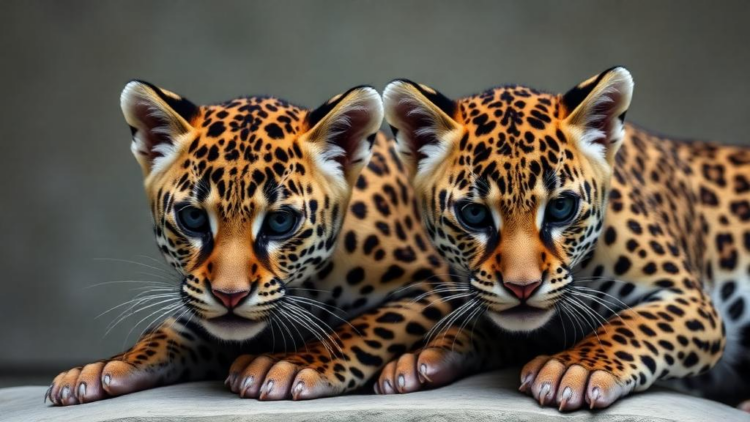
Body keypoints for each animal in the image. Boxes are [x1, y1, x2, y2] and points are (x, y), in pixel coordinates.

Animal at [46, 81, 496, 405]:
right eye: (193, 218)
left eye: (280, 223)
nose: (229, 295)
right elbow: (167, 333)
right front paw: (100, 369)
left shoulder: (434, 284)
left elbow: (367, 326)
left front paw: (293, 365)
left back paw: (423, 362)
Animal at [375, 67, 750, 412]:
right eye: (474, 214)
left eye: (560, 208)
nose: (522, 288)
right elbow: (487, 326)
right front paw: (425, 354)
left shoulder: (689, 300)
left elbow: (631, 324)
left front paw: (577, 367)